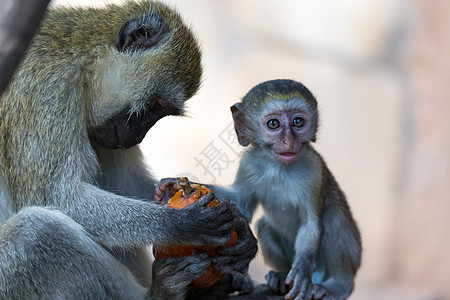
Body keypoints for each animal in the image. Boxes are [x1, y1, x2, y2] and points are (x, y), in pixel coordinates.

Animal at [0, 1, 256, 298]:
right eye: (156, 105)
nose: (138, 136)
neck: (83, 62)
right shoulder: (47, 92)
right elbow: (57, 197)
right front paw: (179, 224)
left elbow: (121, 184)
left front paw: (240, 226)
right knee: (32, 234)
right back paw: (159, 293)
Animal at [212, 79, 362, 300]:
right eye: (274, 124)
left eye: (298, 122)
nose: (289, 142)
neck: (279, 167)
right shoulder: (248, 163)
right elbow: (240, 204)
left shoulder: (314, 169)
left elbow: (310, 224)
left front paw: (301, 271)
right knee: (263, 225)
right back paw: (281, 277)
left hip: (352, 256)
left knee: (333, 215)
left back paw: (338, 285)